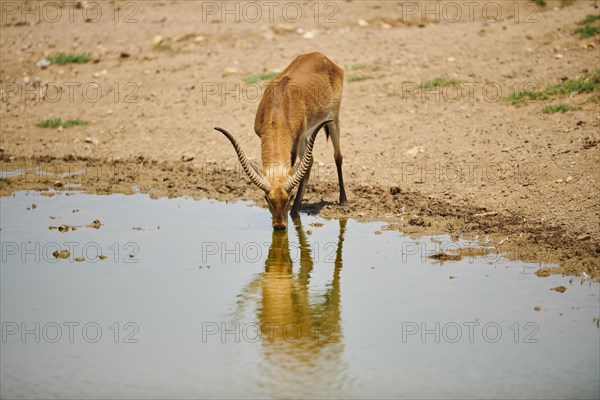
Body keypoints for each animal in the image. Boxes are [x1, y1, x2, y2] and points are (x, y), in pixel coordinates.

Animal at [214, 51, 346, 230]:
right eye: (267, 198)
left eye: (288, 197)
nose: (279, 226)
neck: (279, 109)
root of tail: (321, 56)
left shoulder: (295, 143)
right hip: (306, 136)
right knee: (310, 161)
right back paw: (295, 211)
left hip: (333, 118)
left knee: (337, 156)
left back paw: (343, 201)